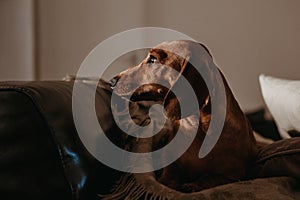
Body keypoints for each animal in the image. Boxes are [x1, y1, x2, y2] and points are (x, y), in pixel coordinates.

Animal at [109, 40, 256, 192]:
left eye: (153, 60)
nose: (112, 82)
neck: (196, 126)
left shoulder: (233, 175)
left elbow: (210, 177)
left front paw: (192, 185)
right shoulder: (171, 166)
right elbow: (169, 177)